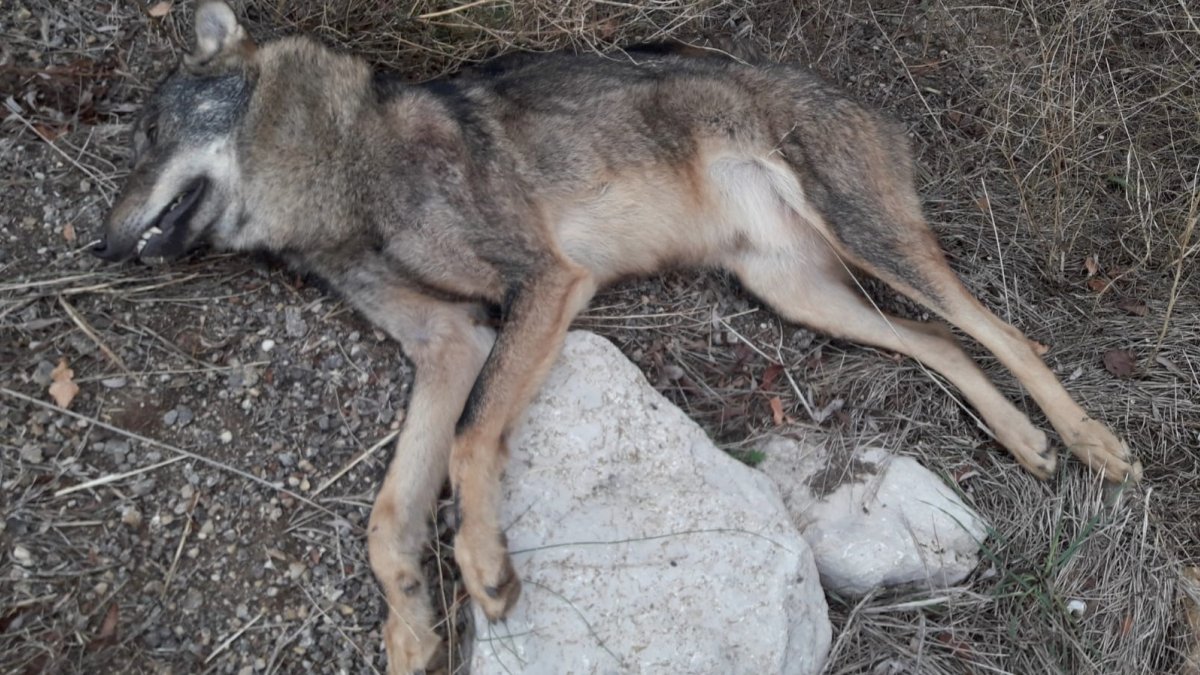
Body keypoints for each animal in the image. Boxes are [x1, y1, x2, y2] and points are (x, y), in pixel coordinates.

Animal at [92, 2, 1141, 672]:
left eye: (147, 134)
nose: (99, 244)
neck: (349, 170)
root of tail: (863, 100)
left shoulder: (545, 285)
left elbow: (470, 442)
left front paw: (484, 568)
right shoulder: (447, 343)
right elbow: (387, 516)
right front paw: (410, 629)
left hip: (870, 246)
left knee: (1002, 331)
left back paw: (1091, 441)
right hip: (806, 297)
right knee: (944, 345)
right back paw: (1024, 442)